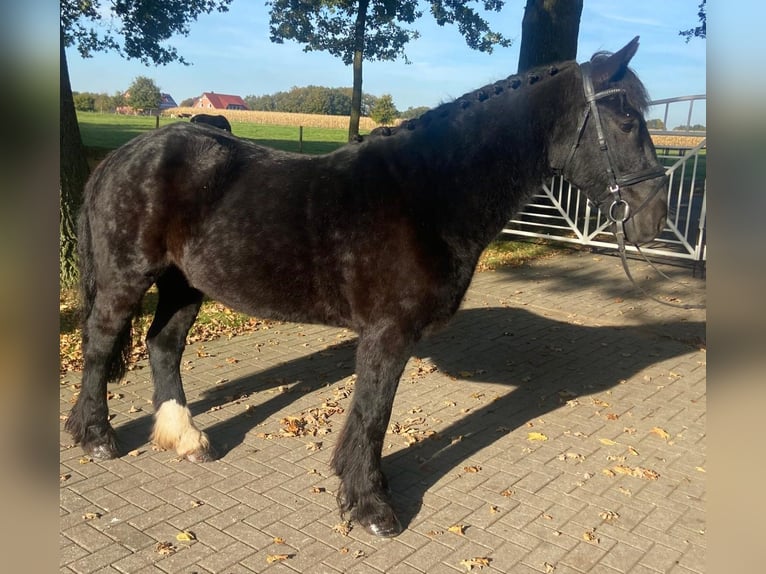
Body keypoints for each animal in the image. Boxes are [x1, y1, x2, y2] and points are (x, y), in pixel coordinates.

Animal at [66, 38, 664, 536]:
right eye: (626, 119)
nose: (653, 218)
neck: (429, 191)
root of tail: (123, 156)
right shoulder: (388, 333)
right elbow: (374, 414)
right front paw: (371, 506)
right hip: (127, 278)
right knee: (99, 345)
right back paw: (96, 437)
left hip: (184, 284)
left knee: (163, 345)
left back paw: (187, 439)